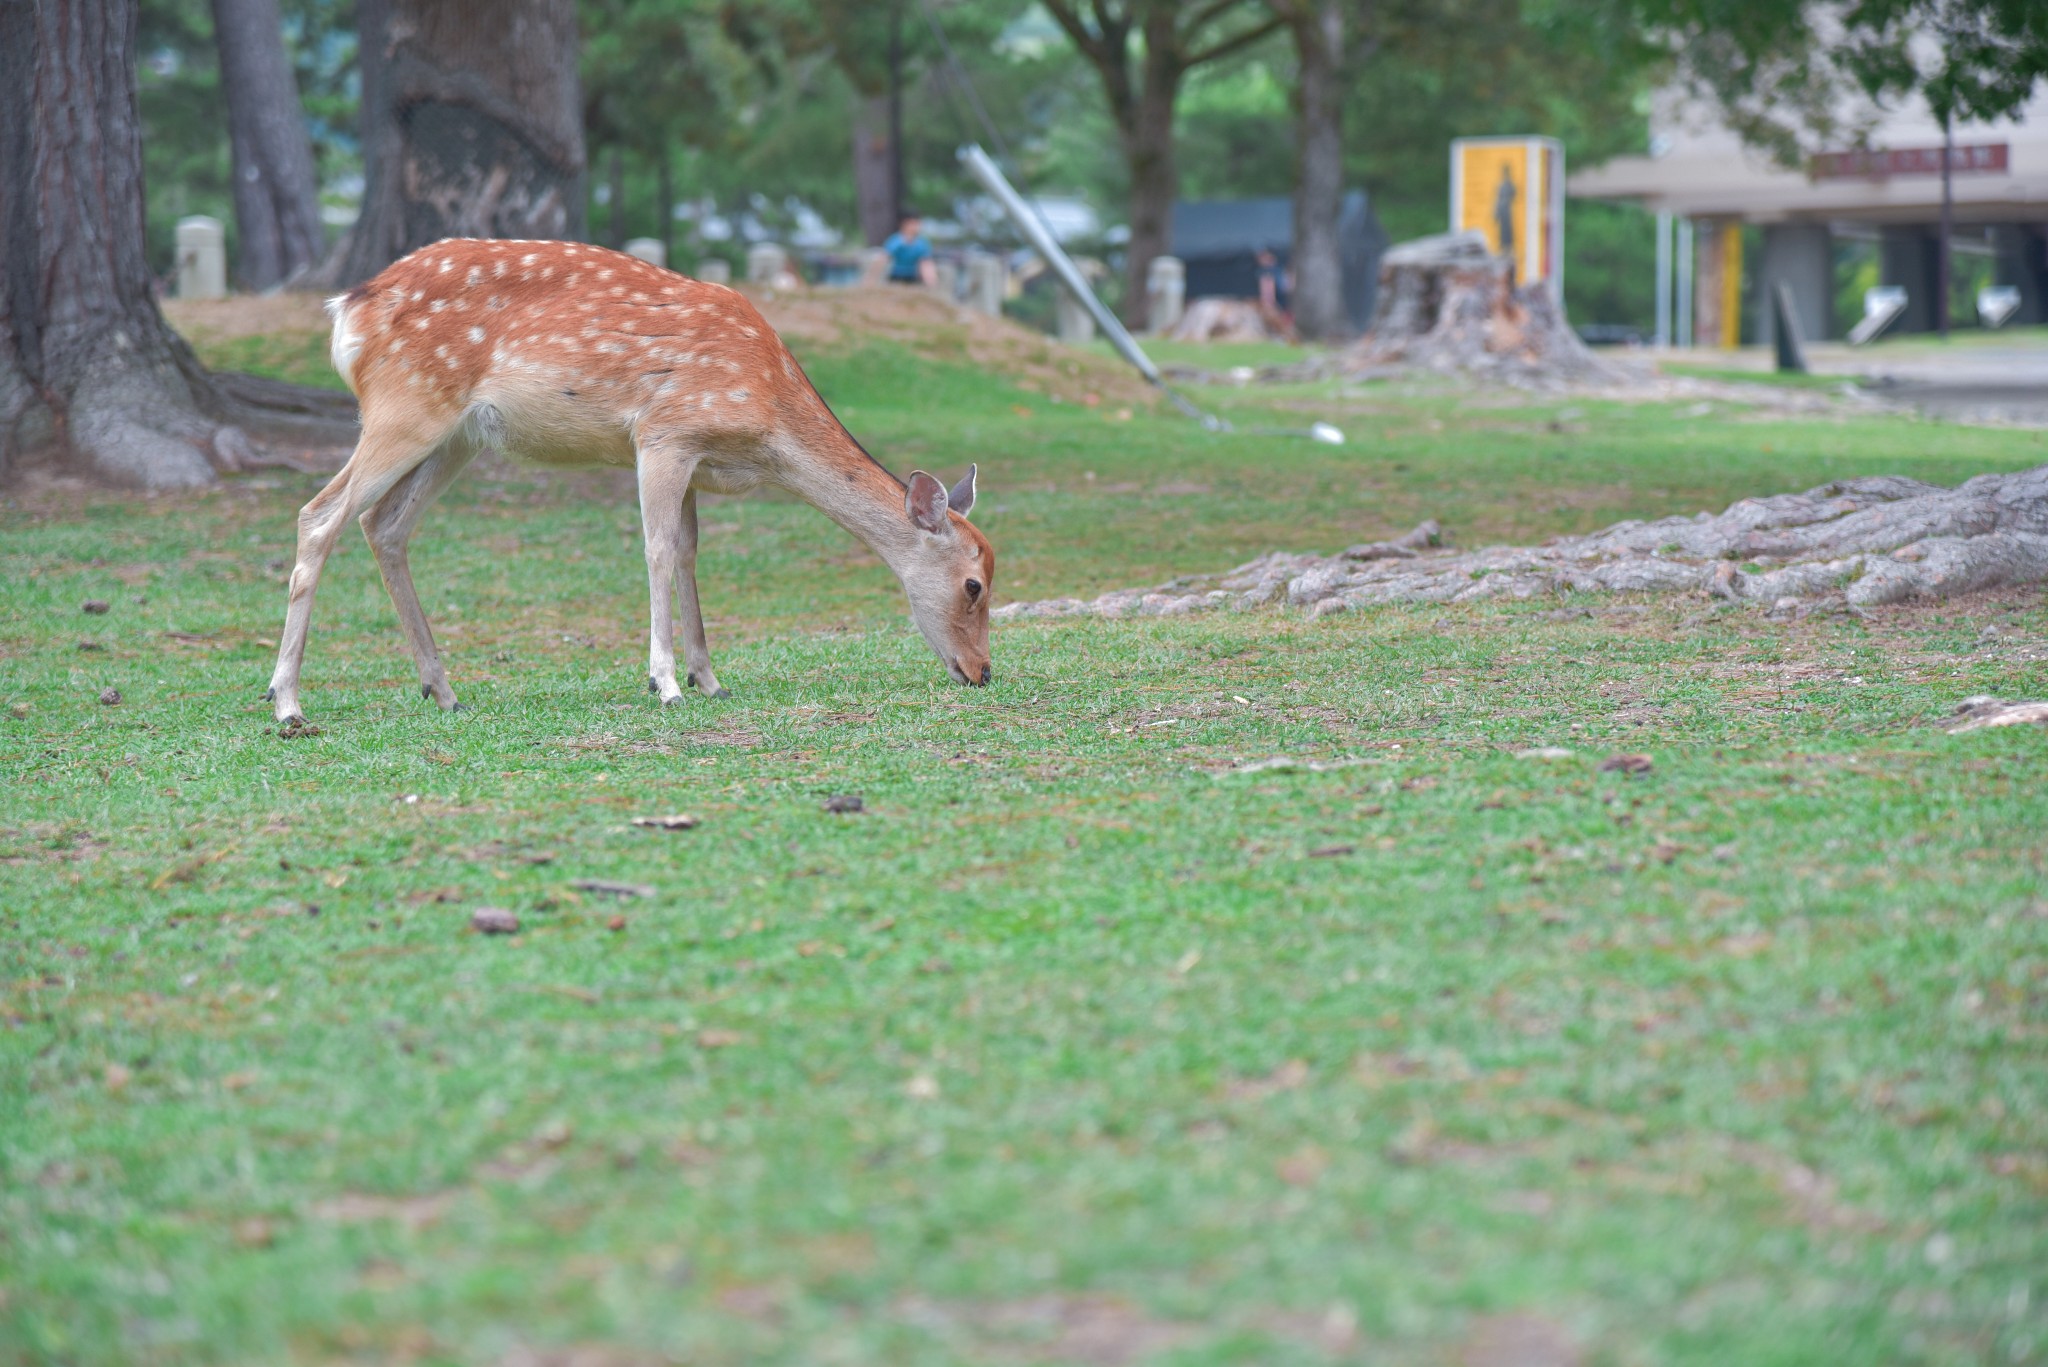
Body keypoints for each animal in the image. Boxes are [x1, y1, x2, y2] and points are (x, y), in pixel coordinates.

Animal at [260, 240, 995, 725]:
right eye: (974, 585)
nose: (983, 672)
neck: (766, 421)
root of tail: (347, 310)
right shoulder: (663, 434)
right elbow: (658, 549)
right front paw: (663, 682)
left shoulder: (695, 457)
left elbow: (691, 552)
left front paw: (709, 678)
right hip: (404, 406)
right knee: (319, 515)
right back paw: (287, 703)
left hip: (457, 437)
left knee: (383, 523)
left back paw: (442, 689)